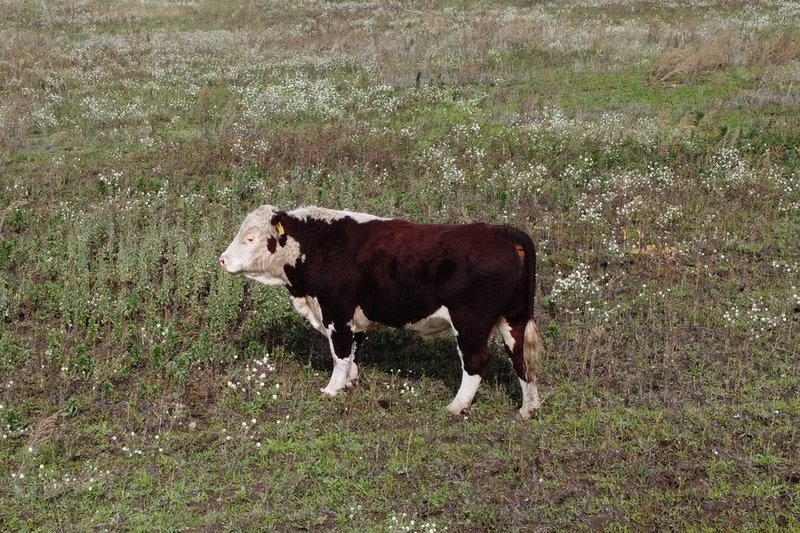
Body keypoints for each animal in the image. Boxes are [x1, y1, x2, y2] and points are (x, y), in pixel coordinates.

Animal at [219, 206, 544, 418]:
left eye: (250, 238)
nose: (222, 259)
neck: (320, 245)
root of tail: (504, 233)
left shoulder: (336, 312)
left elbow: (340, 354)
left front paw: (332, 389)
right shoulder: (353, 319)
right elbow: (353, 351)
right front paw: (350, 382)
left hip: (470, 324)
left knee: (476, 361)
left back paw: (456, 406)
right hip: (513, 319)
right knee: (521, 360)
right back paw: (528, 408)